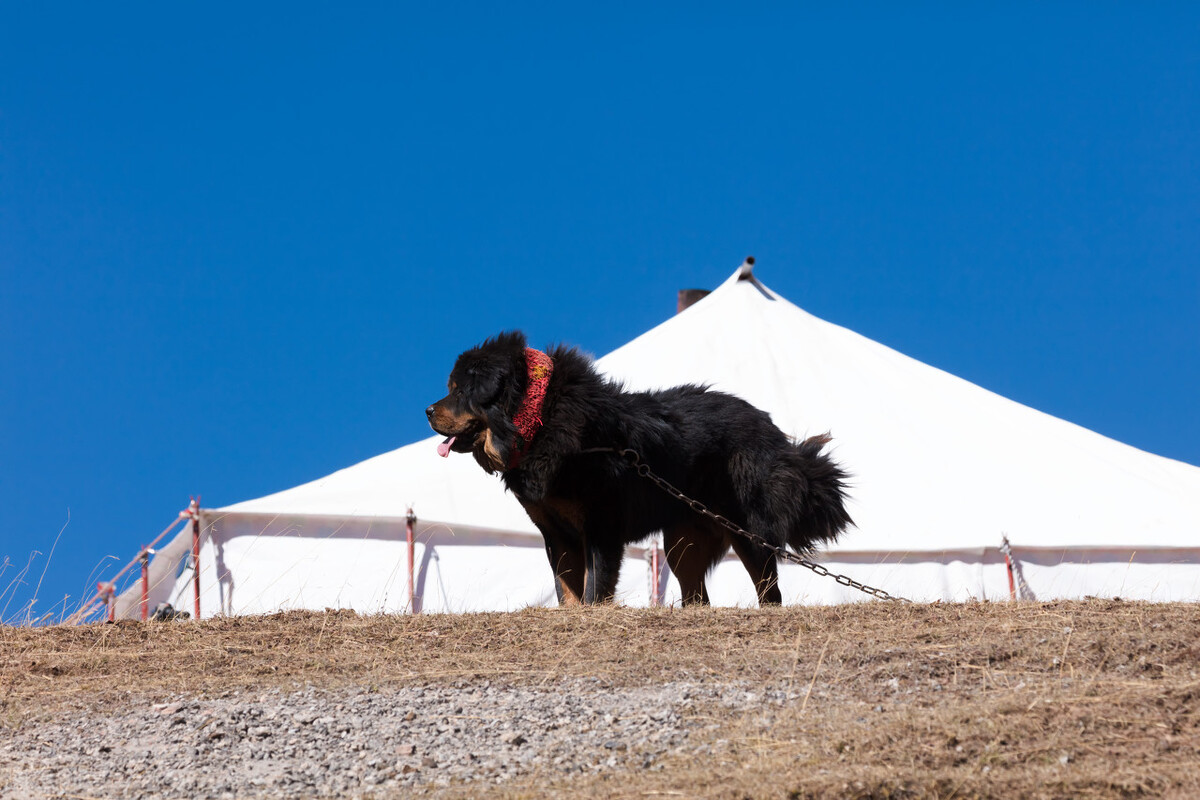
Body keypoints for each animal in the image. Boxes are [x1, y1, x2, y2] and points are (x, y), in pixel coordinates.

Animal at [427, 331, 849, 606]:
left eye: (461, 391)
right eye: (450, 388)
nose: (428, 410)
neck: (539, 419)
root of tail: (770, 427)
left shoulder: (600, 528)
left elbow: (594, 588)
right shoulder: (555, 533)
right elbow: (568, 592)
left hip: (748, 531)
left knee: (769, 591)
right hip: (683, 543)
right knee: (698, 596)